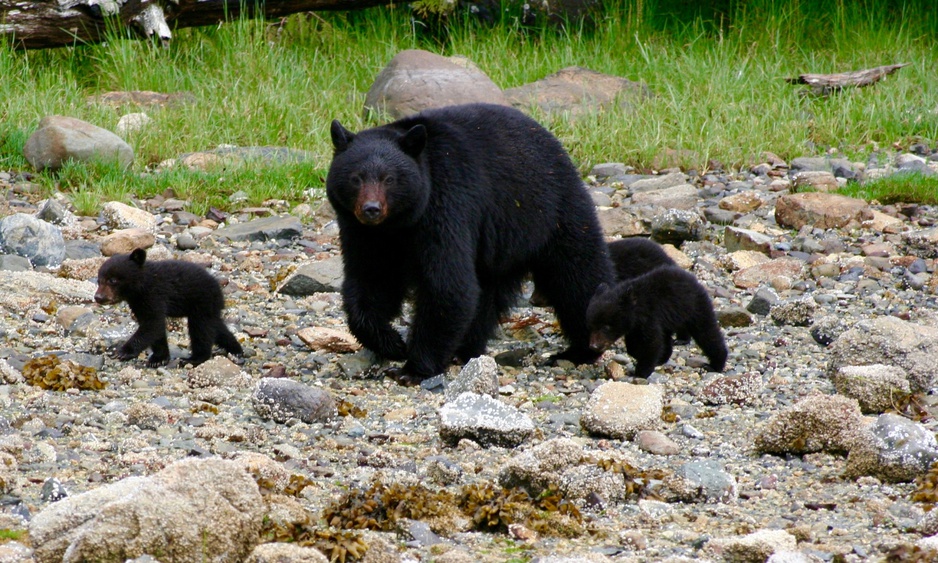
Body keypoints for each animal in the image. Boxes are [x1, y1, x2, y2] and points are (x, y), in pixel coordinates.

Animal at [93, 249, 241, 368]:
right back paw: (236, 349)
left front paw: (124, 351)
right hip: (209, 308)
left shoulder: (154, 295)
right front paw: (159, 358)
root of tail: (219, 289)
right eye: (99, 280)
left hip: (202, 303)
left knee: (201, 330)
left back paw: (194, 359)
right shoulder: (138, 303)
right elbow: (154, 328)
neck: (141, 286)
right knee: (217, 327)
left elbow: (153, 323)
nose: (98, 297)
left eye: (112, 280)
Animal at [326, 102, 612, 384]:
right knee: (487, 294)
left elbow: (447, 284)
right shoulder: (362, 232)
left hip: (551, 212)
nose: (371, 209)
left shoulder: (447, 204)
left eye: (389, 179)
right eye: (356, 178)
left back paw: (580, 350)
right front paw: (392, 343)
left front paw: (413, 369)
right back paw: (466, 349)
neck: (397, 225)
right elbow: (371, 279)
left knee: (577, 278)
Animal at [584, 266, 724, 378]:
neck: (636, 308)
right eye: (590, 326)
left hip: (696, 307)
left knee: (707, 333)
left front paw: (641, 372)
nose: (593, 346)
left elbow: (652, 343)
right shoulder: (635, 326)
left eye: (606, 327)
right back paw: (676, 344)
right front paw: (642, 356)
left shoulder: (649, 317)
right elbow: (634, 345)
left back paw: (715, 365)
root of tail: (694, 279)